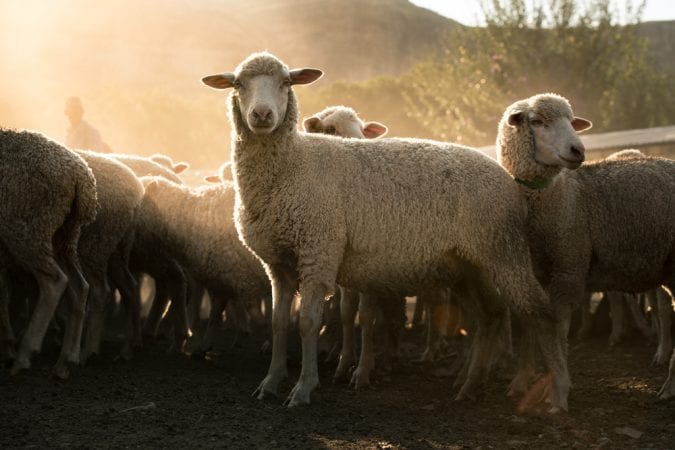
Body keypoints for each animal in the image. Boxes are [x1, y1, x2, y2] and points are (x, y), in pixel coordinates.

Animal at [202, 52, 572, 412]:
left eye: (285, 82)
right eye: (238, 84)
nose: (262, 115)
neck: (293, 165)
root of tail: (507, 178)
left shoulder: (318, 252)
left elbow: (307, 322)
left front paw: (304, 387)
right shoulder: (277, 263)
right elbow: (280, 323)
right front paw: (270, 383)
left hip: (503, 251)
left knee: (540, 313)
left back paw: (557, 392)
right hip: (468, 265)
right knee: (490, 316)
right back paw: (469, 386)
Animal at [496, 92, 675, 400]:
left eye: (572, 122)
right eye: (537, 121)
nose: (578, 150)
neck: (558, 196)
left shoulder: (568, 268)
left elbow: (558, 331)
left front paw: (557, 388)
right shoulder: (534, 274)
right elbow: (534, 326)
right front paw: (522, 380)